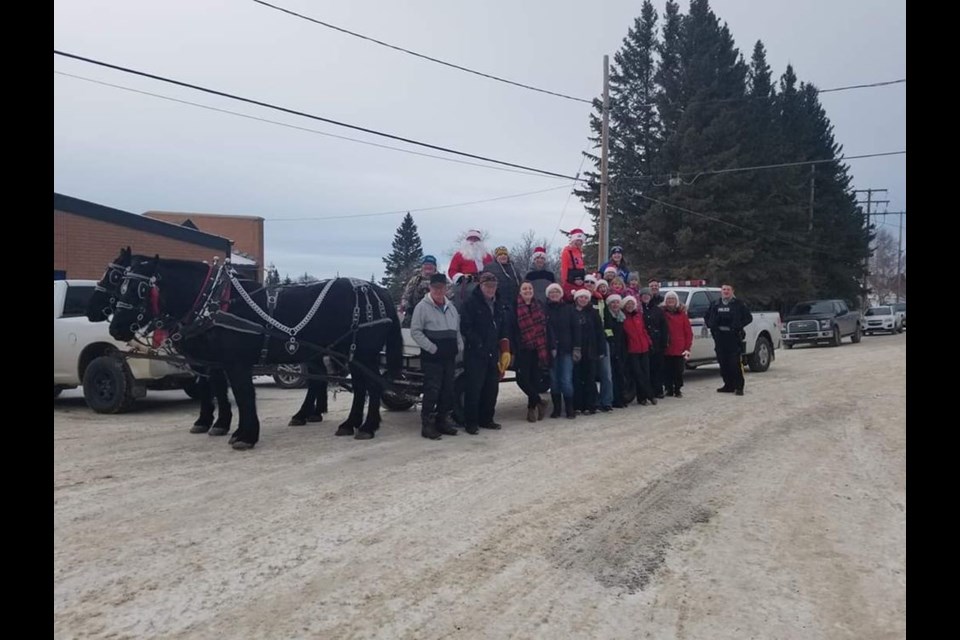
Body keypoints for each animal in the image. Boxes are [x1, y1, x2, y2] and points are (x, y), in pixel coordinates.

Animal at [109, 256, 402, 450]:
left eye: (140, 289)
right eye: (119, 285)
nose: (115, 327)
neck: (216, 303)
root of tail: (377, 290)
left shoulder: (235, 363)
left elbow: (242, 395)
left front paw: (244, 435)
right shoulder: (217, 362)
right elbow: (225, 393)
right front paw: (228, 428)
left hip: (363, 352)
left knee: (371, 386)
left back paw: (366, 426)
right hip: (349, 352)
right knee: (359, 386)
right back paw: (348, 423)